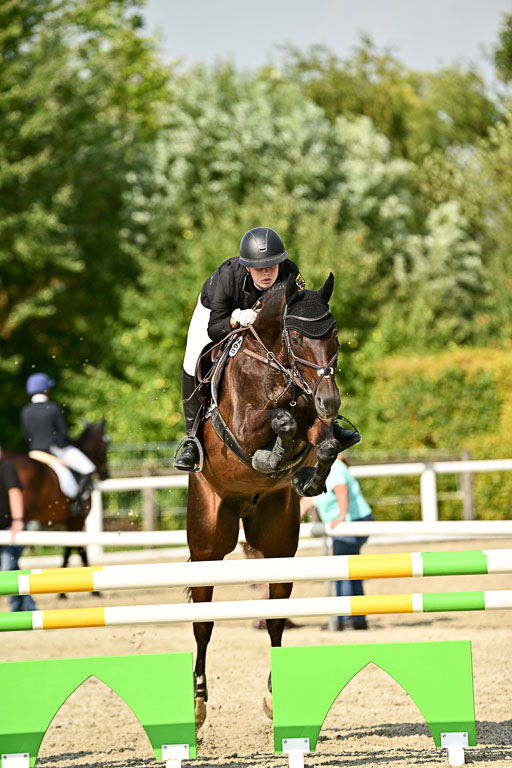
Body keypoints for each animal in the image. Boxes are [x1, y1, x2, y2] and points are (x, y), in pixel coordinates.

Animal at [187, 273, 345, 726]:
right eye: (298, 336)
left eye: (334, 336)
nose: (331, 401)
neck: (277, 367)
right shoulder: (243, 425)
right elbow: (281, 420)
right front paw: (271, 454)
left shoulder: (314, 416)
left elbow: (326, 441)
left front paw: (307, 479)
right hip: (207, 543)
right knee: (202, 623)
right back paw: (198, 701)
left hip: (277, 541)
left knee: (275, 619)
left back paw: (275, 696)